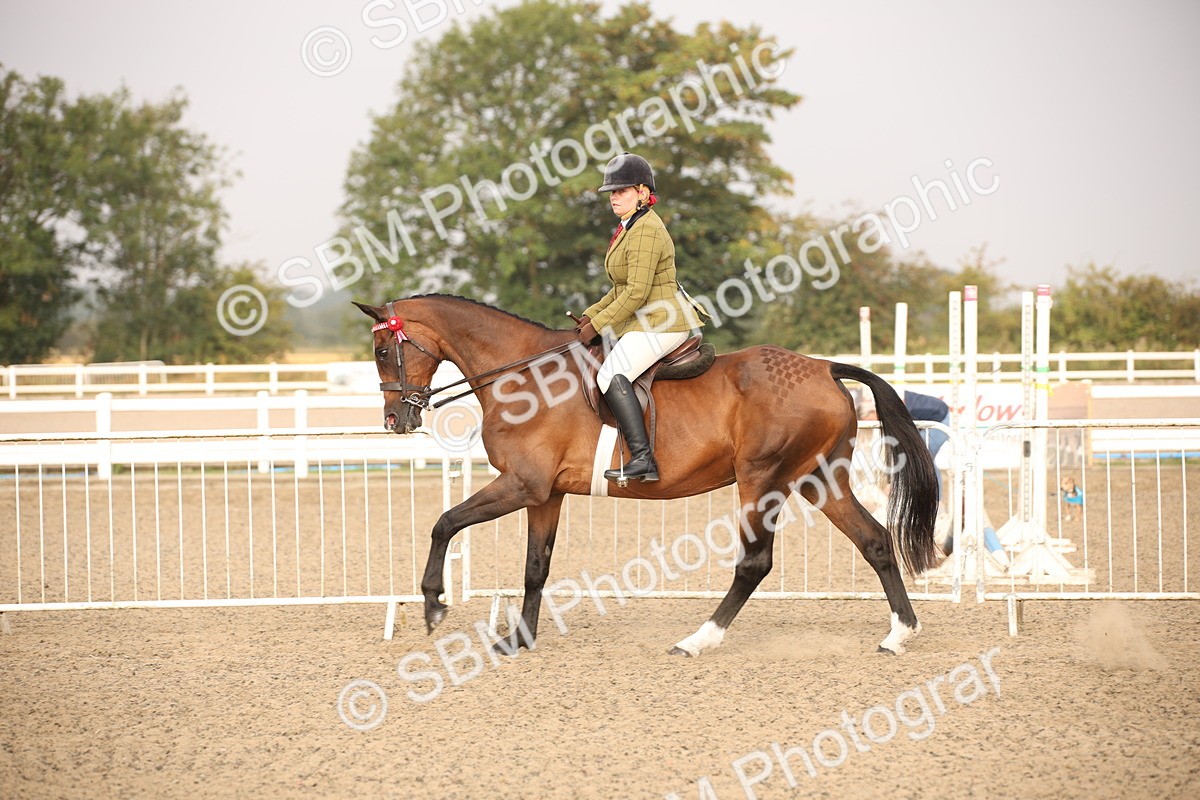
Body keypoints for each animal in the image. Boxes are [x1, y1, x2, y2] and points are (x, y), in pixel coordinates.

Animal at [354, 294, 941, 656]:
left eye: (383, 351)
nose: (395, 420)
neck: (522, 375)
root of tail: (823, 366)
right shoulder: (544, 495)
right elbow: (535, 568)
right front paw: (519, 639)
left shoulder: (521, 485)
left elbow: (444, 523)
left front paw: (433, 604)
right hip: (820, 480)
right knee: (875, 540)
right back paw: (900, 634)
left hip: (762, 481)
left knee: (754, 563)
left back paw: (698, 640)